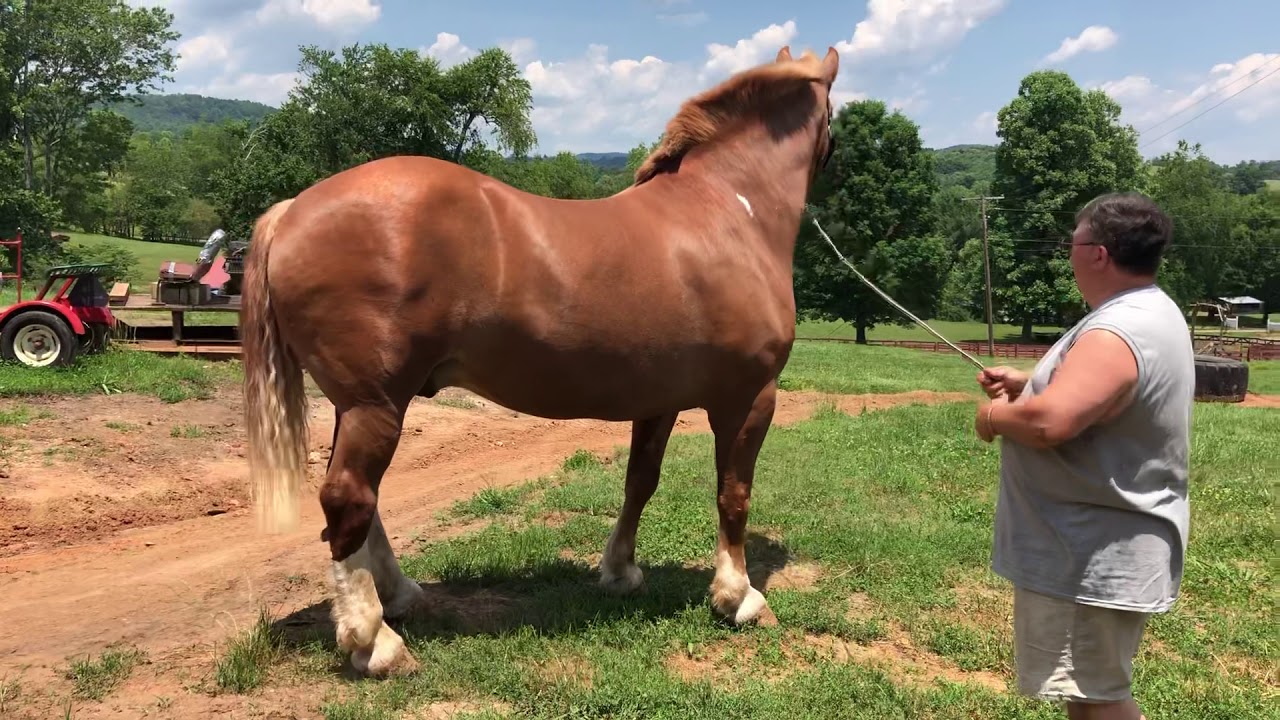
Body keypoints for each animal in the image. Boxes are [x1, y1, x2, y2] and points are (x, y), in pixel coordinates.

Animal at [240, 45, 841, 677]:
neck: (724, 212)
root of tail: (292, 210)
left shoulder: (659, 401)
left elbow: (640, 481)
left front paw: (620, 573)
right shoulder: (748, 398)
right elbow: (734, 493)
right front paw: (739, 597)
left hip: (357, 404)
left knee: (361, 505)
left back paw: (400, 597)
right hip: (374, 403)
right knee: (348, 498)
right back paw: (374, 642)